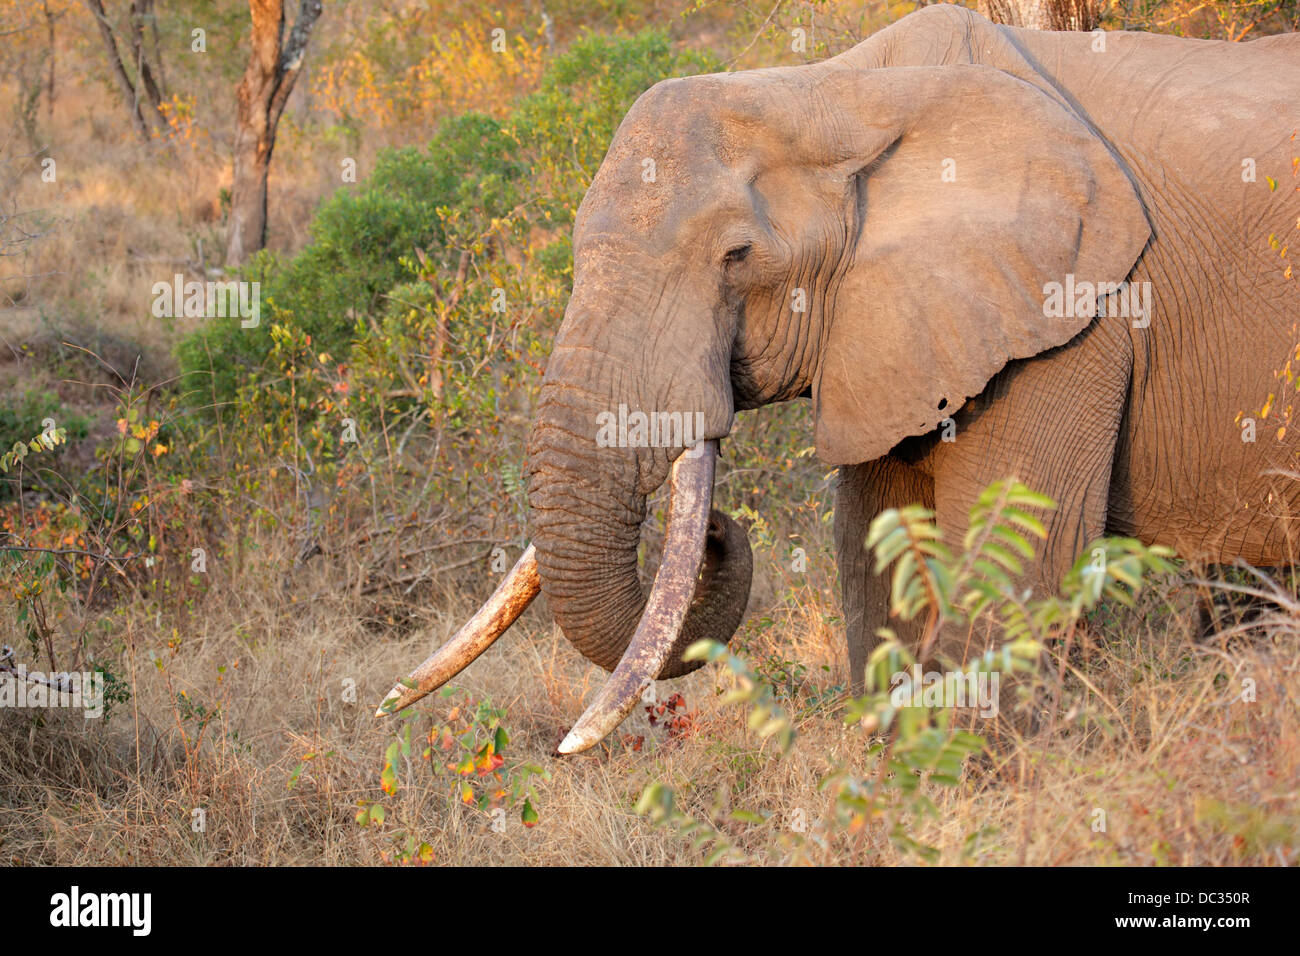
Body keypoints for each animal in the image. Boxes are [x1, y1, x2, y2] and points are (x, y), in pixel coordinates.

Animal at [379, 7, 1300, 754]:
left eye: (737, 257)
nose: (719, 530)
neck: (837, 91)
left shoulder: (1076, 318)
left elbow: (1011, 568)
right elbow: (874, 564)